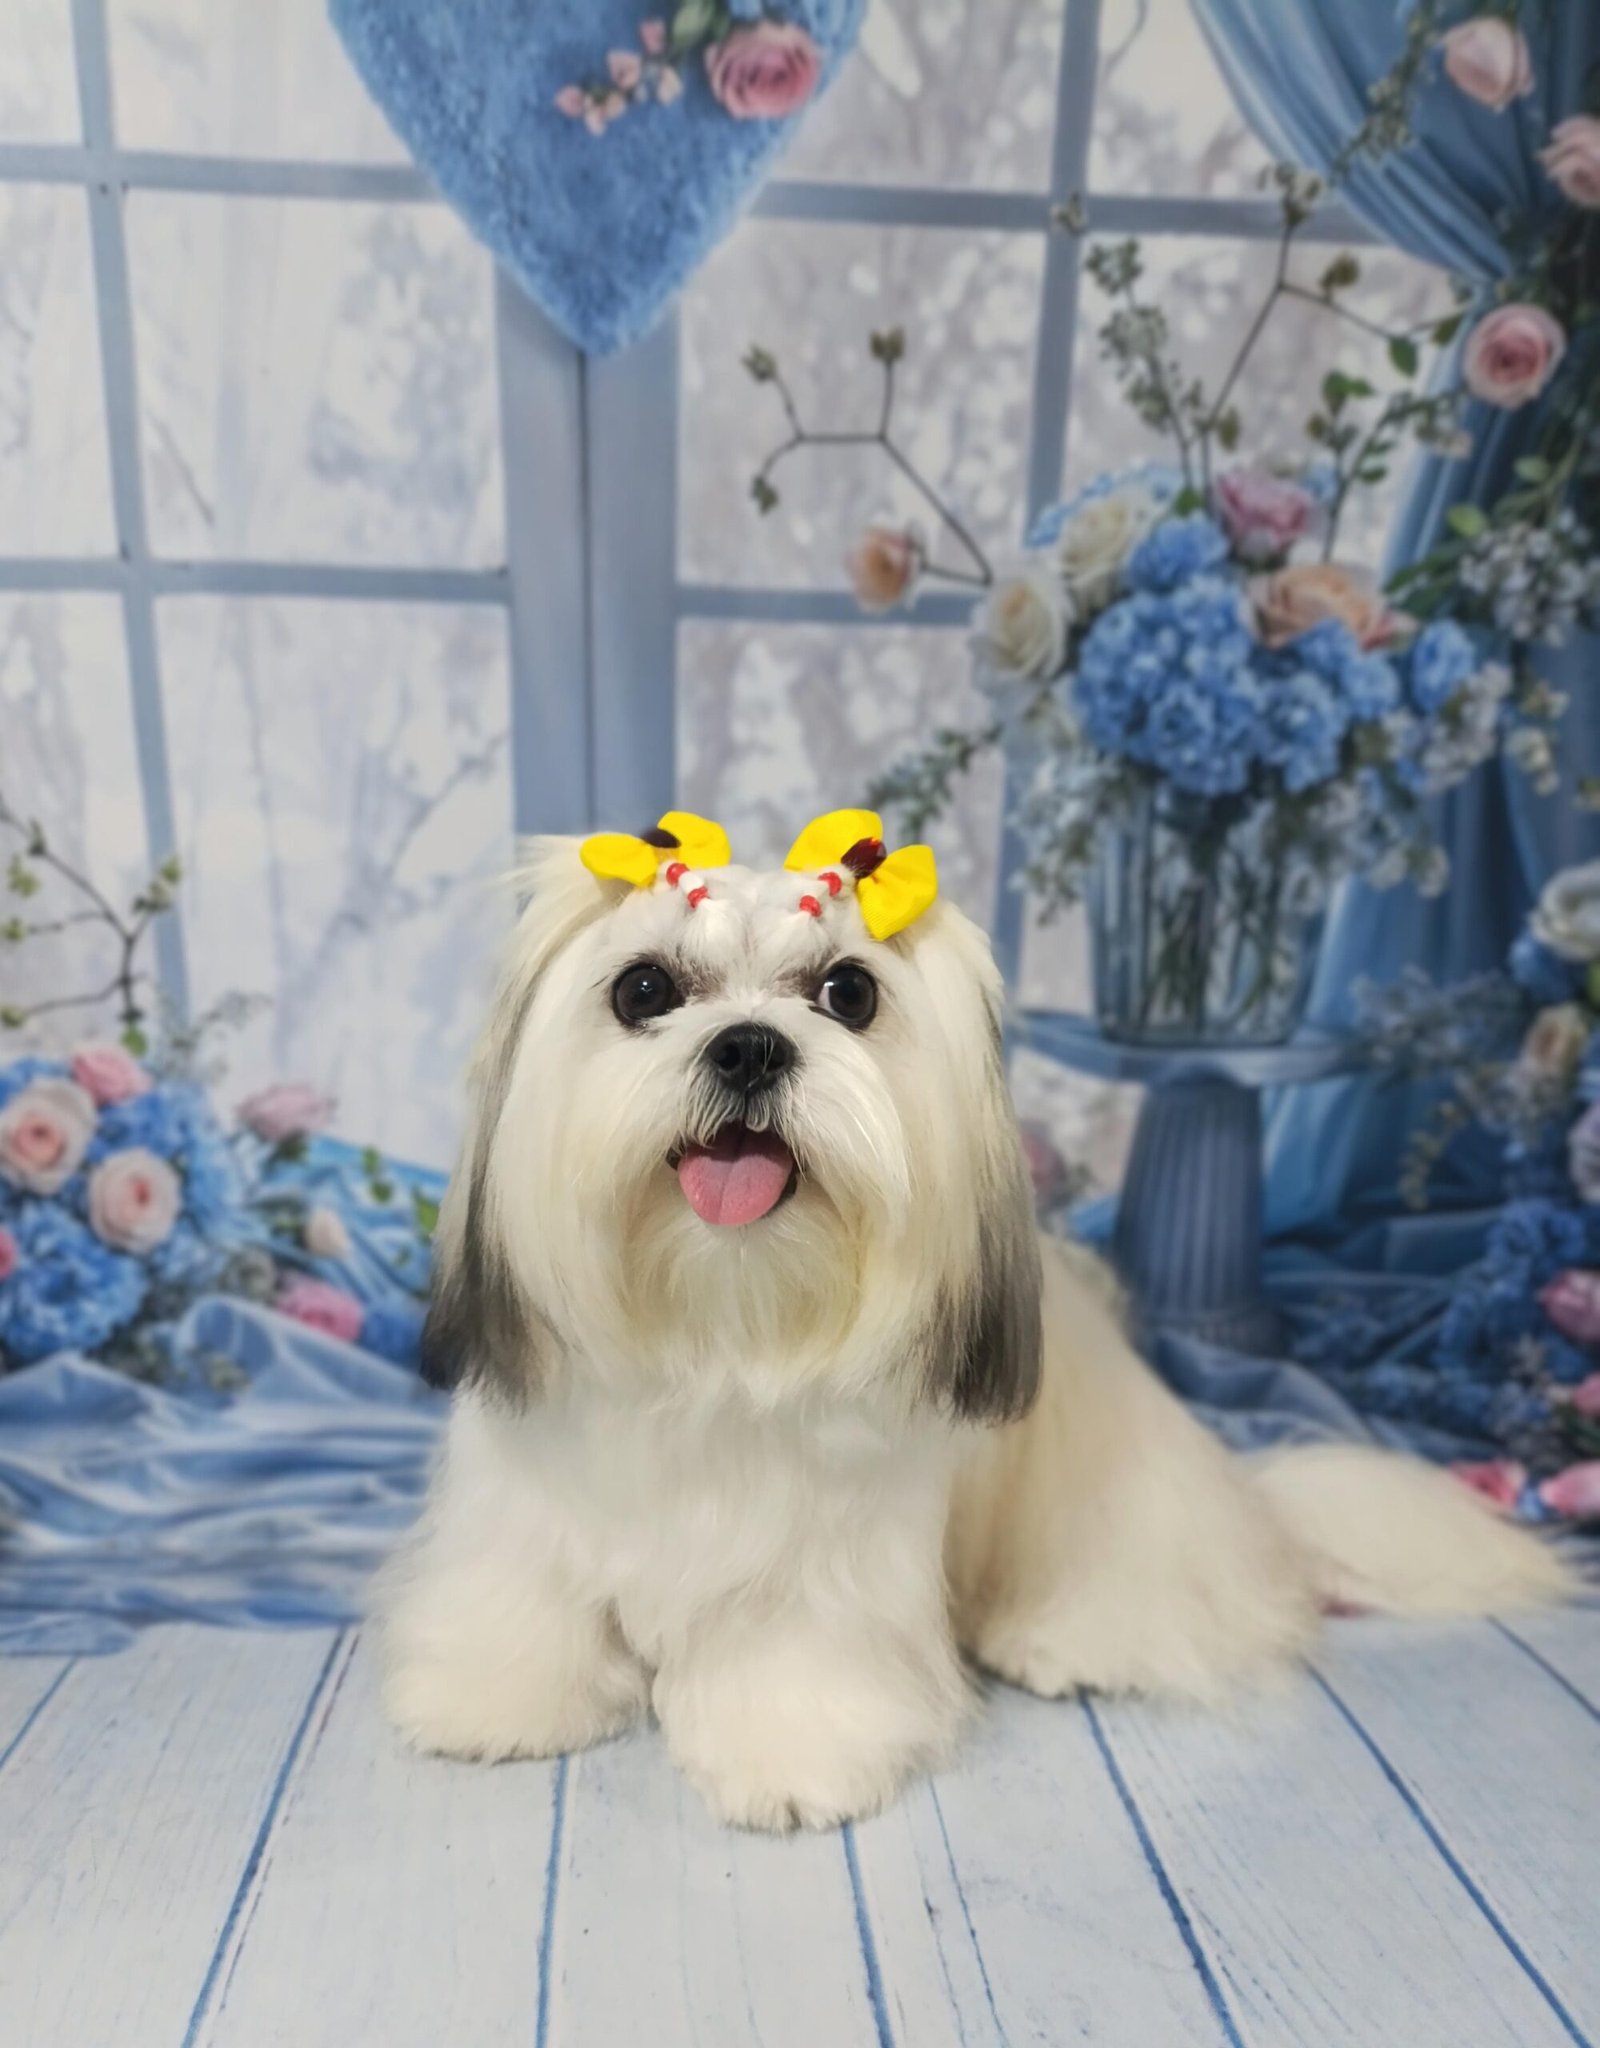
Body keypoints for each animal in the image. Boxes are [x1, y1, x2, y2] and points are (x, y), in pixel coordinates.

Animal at [379, 811, 1566, 1832]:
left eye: (848, 991)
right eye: (643, 987)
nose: (751, 1045)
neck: (721, 1327)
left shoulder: (828, 1559)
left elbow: (793, 1647)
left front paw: (792, 1751)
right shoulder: (525, 1505)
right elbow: (526, 1600)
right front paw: (498, 1696)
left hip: (1110, 1507)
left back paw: (1079, 1642)